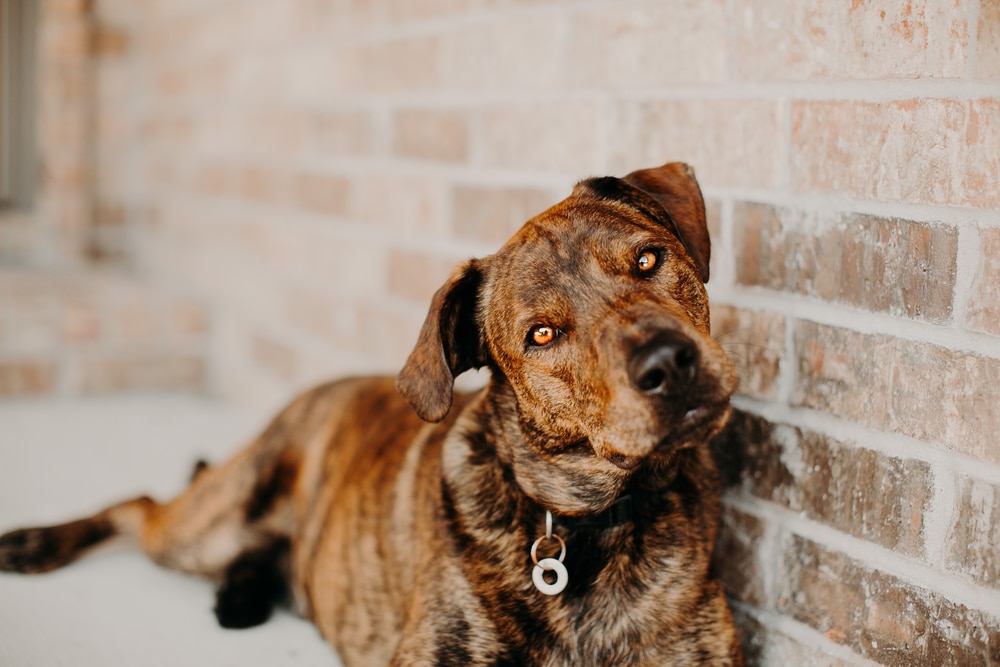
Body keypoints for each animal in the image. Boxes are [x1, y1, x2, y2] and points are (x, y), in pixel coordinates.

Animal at [0, 163, 748, 667]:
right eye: (542, 334)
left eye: (649, 259)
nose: (668, 362)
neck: (594, 524)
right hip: (209, 521)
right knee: (141, 503)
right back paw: (37, 542)